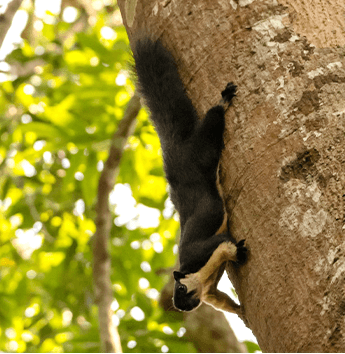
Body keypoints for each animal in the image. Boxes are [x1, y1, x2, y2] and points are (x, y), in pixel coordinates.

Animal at [132, 37, 247, 314]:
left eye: (181, 288)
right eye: (177, 296)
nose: (184, 307)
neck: (199, 277)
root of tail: (175, 150)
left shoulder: (200, 253)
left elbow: (224, 242)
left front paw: (237, 252)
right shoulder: (210, 293)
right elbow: (223, 301)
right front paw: (241, 313)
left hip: (202, 152)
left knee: (213, 122)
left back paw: (223, 101)